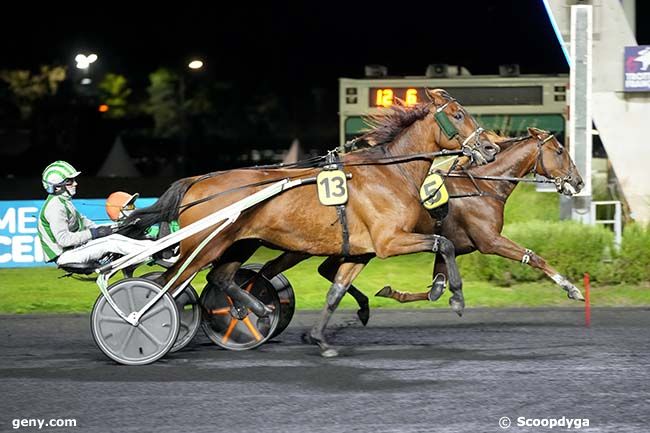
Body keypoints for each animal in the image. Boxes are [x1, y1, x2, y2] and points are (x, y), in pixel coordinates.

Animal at [121, 89, 494, 356]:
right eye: (459, 114)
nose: (489, 148)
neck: (389, 173)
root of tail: (197, 181)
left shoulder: (361, 251)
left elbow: (335, 292)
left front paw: (320, 339)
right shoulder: (390, 241)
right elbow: (444, 243)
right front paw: (453, 295)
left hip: (239, 243)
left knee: (220, 278)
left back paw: (258, 309)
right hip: (204, 246)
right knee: (167, 284)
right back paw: (143, 323)